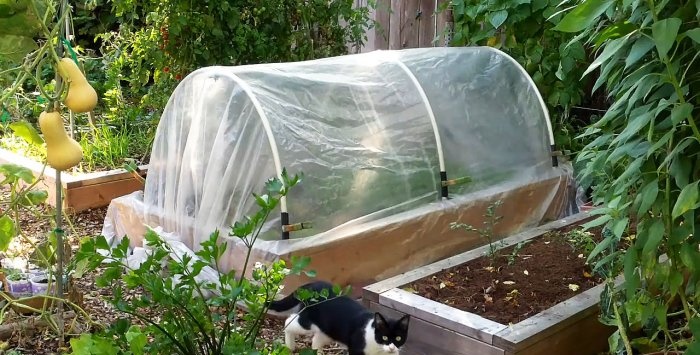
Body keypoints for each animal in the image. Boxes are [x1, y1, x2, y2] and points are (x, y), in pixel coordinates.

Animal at [268, 282, 410, 354]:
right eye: (384, 337)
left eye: (398, 338)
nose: (392, 348)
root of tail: (309, 285)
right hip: (307, 322)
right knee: (289, 321)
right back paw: (290, 346)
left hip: (328, 329)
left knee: (315, 340)